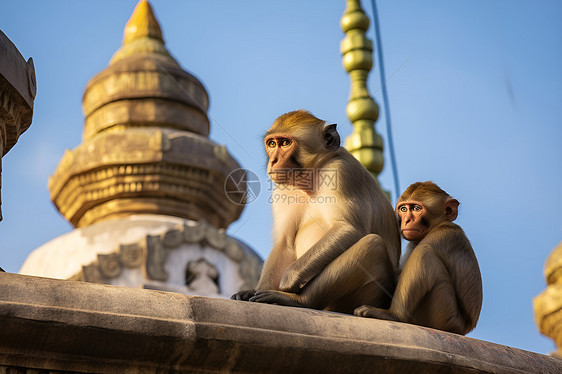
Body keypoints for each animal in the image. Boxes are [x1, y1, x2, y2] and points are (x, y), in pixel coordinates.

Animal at [230, 109, 400, 314]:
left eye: (285, 143)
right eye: (272, 144)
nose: (273, 161)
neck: (312, 176)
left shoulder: (340, 171)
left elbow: (348, 229)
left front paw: (288, 280)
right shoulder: (284, 189)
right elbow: (284, 243)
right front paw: (255, 293)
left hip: (365, 297)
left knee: (372, 245)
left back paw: (299, 300)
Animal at [354, 180, 482, 334]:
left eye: (416, 208)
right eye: (403, 209)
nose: (407, 220)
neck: (439, 224)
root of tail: (464, 328)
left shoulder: (441, 235)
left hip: (444, 314)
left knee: (425, 254)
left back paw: (394, 315)